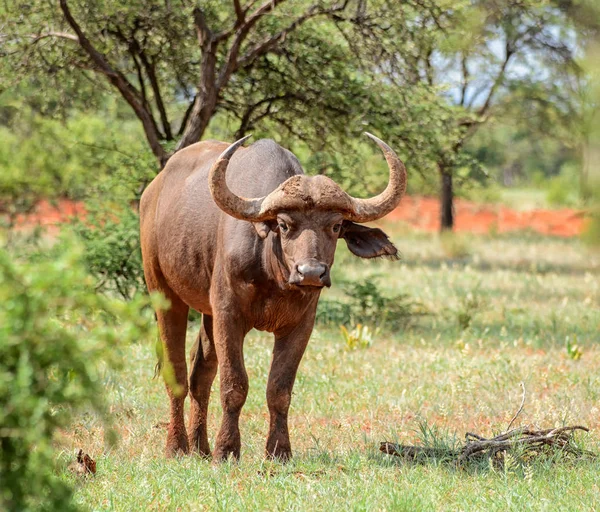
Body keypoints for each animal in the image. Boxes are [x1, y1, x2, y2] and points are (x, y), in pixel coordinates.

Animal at [141, 133, 406, 460]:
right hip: (163, 292)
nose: (311, 272)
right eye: (283, 225)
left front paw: (279, 451)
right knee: (176, 372)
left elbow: (279, 389)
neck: (273, 273)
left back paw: (200, 447)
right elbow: (234, 385)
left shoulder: (300, 324)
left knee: (200, 373)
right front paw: (227, 449)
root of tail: (152, 192)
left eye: (335, 226)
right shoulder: (228, 315)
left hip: (206, 313)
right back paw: (177, 446)